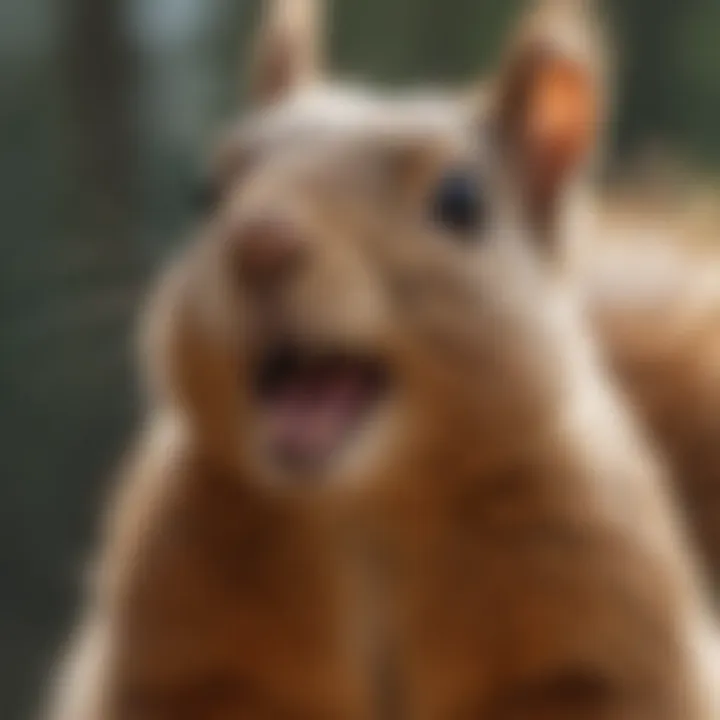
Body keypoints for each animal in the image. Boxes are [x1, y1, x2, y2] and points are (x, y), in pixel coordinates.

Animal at [47, 1, 716, 720]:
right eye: (206, 192)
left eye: (461, 202)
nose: (259, 242)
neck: (365, 506)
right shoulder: (182, 644)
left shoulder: (597, 642)